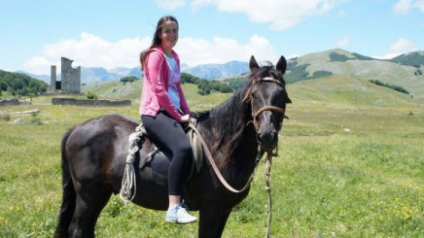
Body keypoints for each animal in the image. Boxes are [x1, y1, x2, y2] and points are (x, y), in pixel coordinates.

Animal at [54, 54, 292, 237]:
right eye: (253, 95)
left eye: (282, 96)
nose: (267, 136)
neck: (219, 148)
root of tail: (76, 128)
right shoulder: (211, 209)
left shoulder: (223, 210)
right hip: (88, 193)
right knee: (77, 229)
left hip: (101, 191)